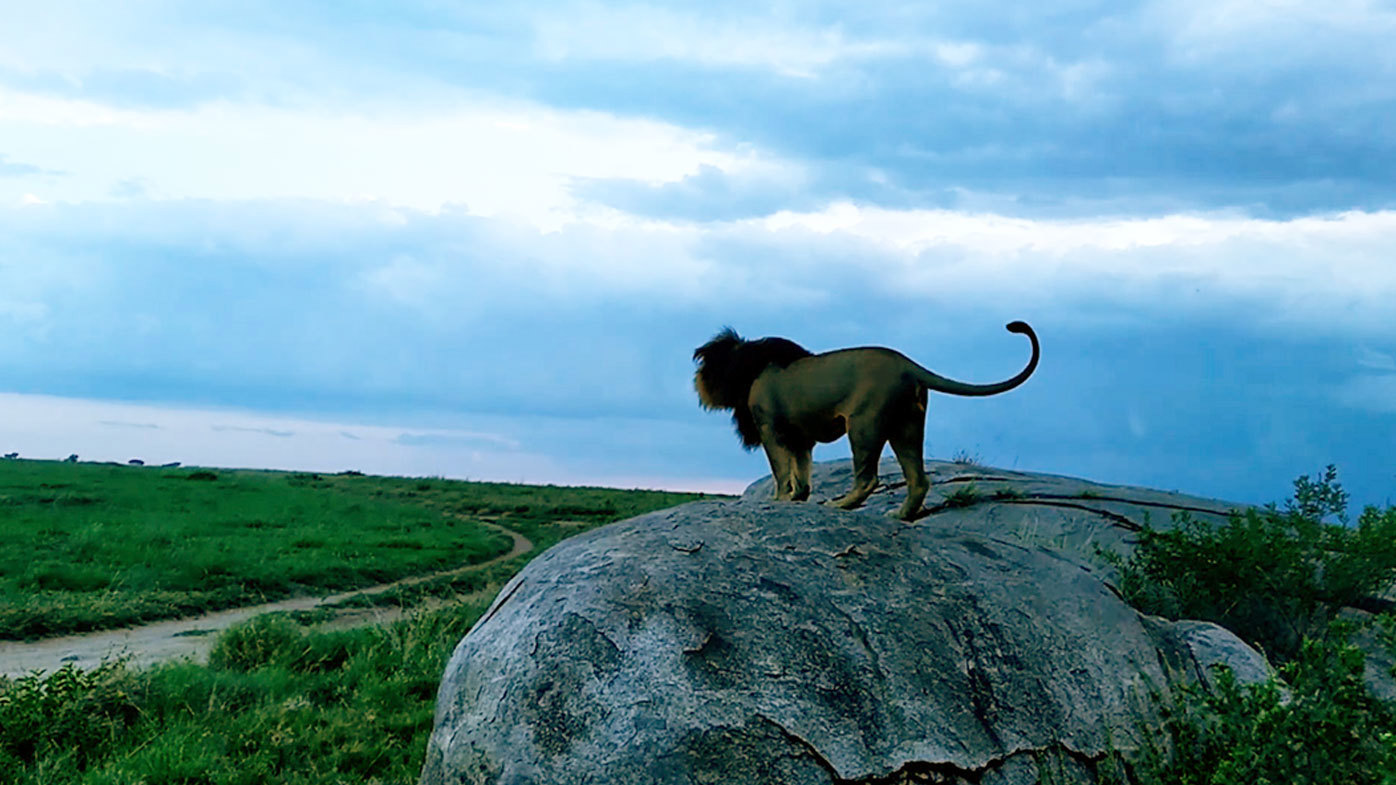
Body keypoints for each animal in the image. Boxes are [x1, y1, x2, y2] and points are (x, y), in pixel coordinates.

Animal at [695, 321, 1038, 516]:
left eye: (707, 362)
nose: (696, 380)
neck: (751, 367)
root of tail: (908, 365)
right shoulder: (800, 438)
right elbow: (801, 474)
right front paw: (796, 498)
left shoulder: (770, 428)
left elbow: (781, 471)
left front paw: (779, 500)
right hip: (906, 426)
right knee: (918, 480)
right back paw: (899, 516)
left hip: (863, 425)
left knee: (868, 478)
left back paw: (839, 505)